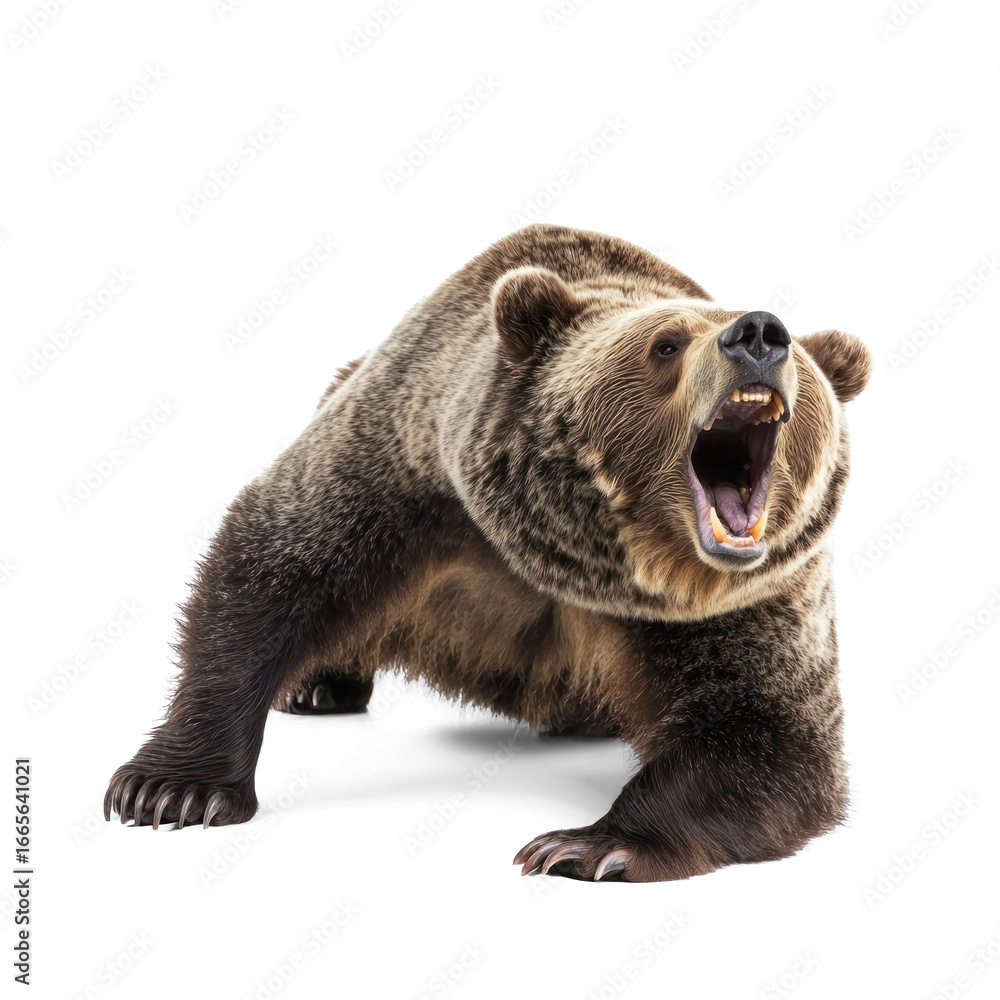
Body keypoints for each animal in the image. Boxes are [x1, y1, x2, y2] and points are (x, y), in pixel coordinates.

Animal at [104, 223, 871, 883]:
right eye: (666, 344)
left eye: (800, 354)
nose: (760, 334)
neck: (574, 563)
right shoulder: (410, 471)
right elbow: (270, 571)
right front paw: (170, 790)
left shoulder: (736, 598)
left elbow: (764, 728)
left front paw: (587, 845)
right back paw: (317, 685)